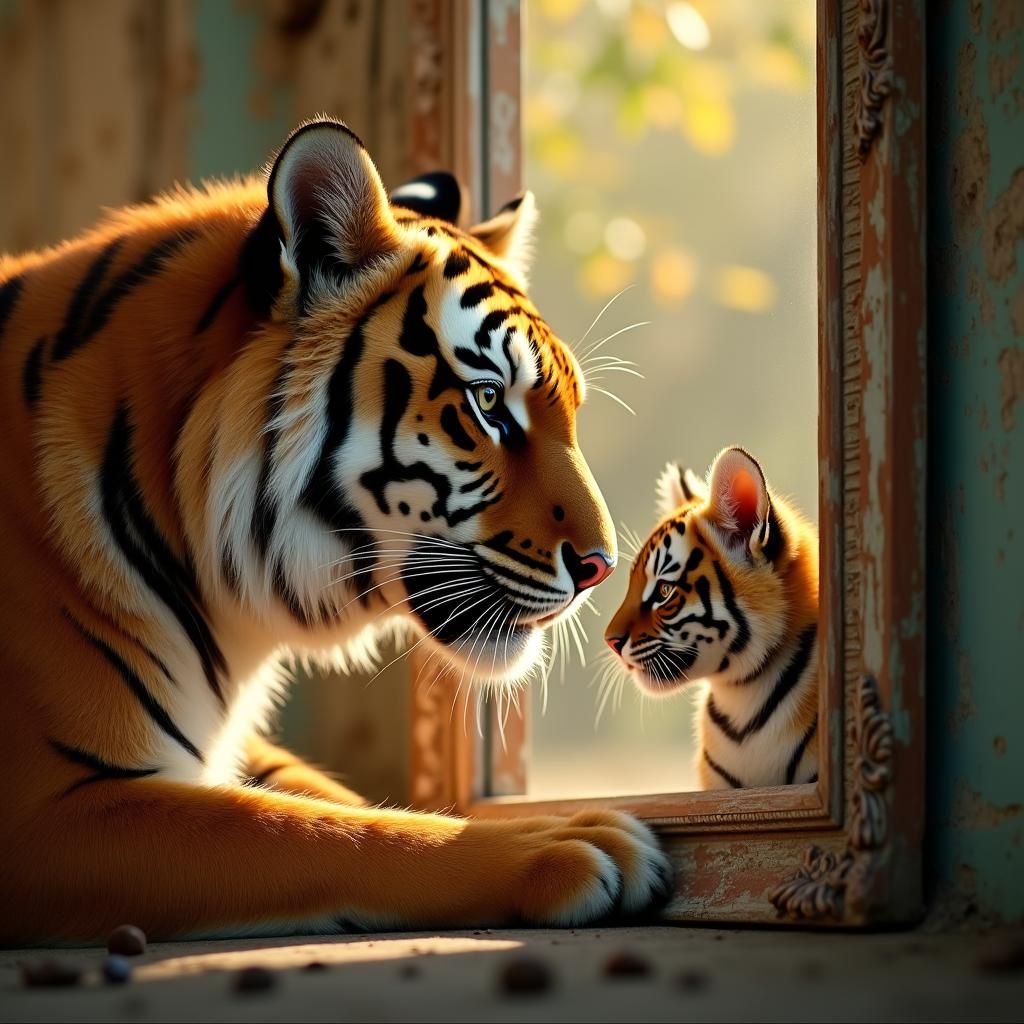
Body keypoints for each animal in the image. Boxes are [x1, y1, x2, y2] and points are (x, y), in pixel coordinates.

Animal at [0, 118, 672, 944]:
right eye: (487, 403)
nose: (600, 566)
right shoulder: (46, 814)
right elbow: (311, 829)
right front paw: (567, 843)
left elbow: (329, 796)